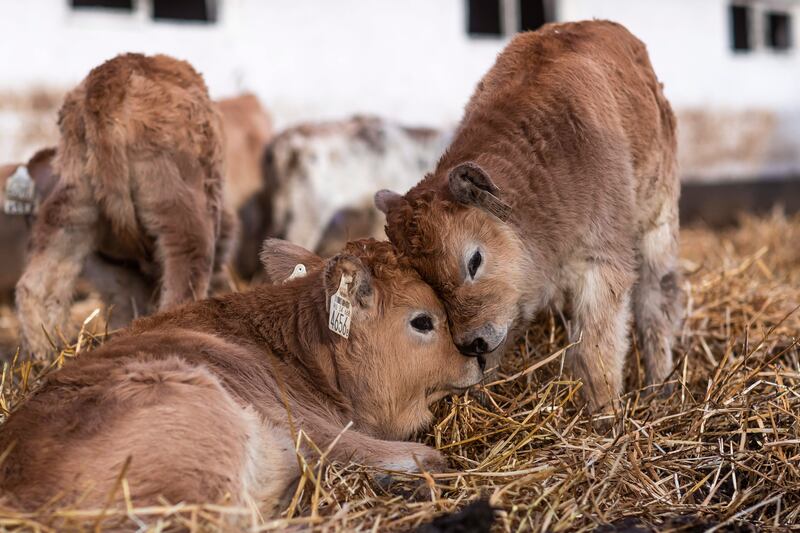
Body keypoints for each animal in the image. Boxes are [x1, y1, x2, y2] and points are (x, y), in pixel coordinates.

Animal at [15, 53, 234, 358]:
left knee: (38, 285)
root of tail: (110, 79)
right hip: (180, 211)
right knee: (183, 278)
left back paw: (45, 356)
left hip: (72, 206)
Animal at [376, 20, 680, 410]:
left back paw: (661, 386)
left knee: (657, 303)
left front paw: (605, 414)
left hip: (657, 226)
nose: (473, 342)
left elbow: (596, 352)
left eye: (474, 260)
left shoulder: (602, 264)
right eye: (424, 280)